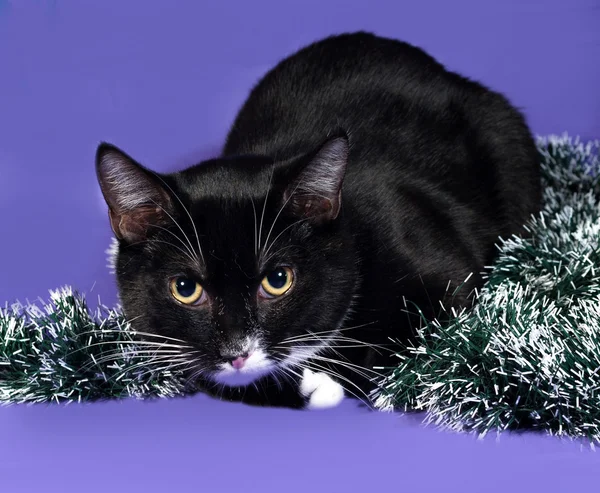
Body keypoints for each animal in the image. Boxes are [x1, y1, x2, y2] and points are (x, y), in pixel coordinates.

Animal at [96, 29, 540, 408]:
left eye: (278, 280)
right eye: (185, 288)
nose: (237, 352)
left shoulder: (437, 264)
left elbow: (430, 334)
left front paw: (328, 380)